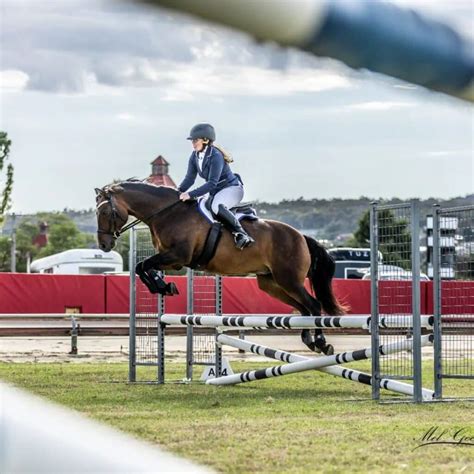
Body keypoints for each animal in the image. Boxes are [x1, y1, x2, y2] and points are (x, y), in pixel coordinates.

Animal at [95, 181, 348, 356]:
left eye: (105, 212)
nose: (104, 245)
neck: (168, 213)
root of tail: (301, 237)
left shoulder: (178, 257)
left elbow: (143, 264)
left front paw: (163, 286)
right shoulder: (171, 259)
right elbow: (143, 266)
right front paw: (164, 286)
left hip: (289, 279)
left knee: (313, 305)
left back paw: (321, 343)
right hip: (272, 283)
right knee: (304, 309)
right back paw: (309, 341)